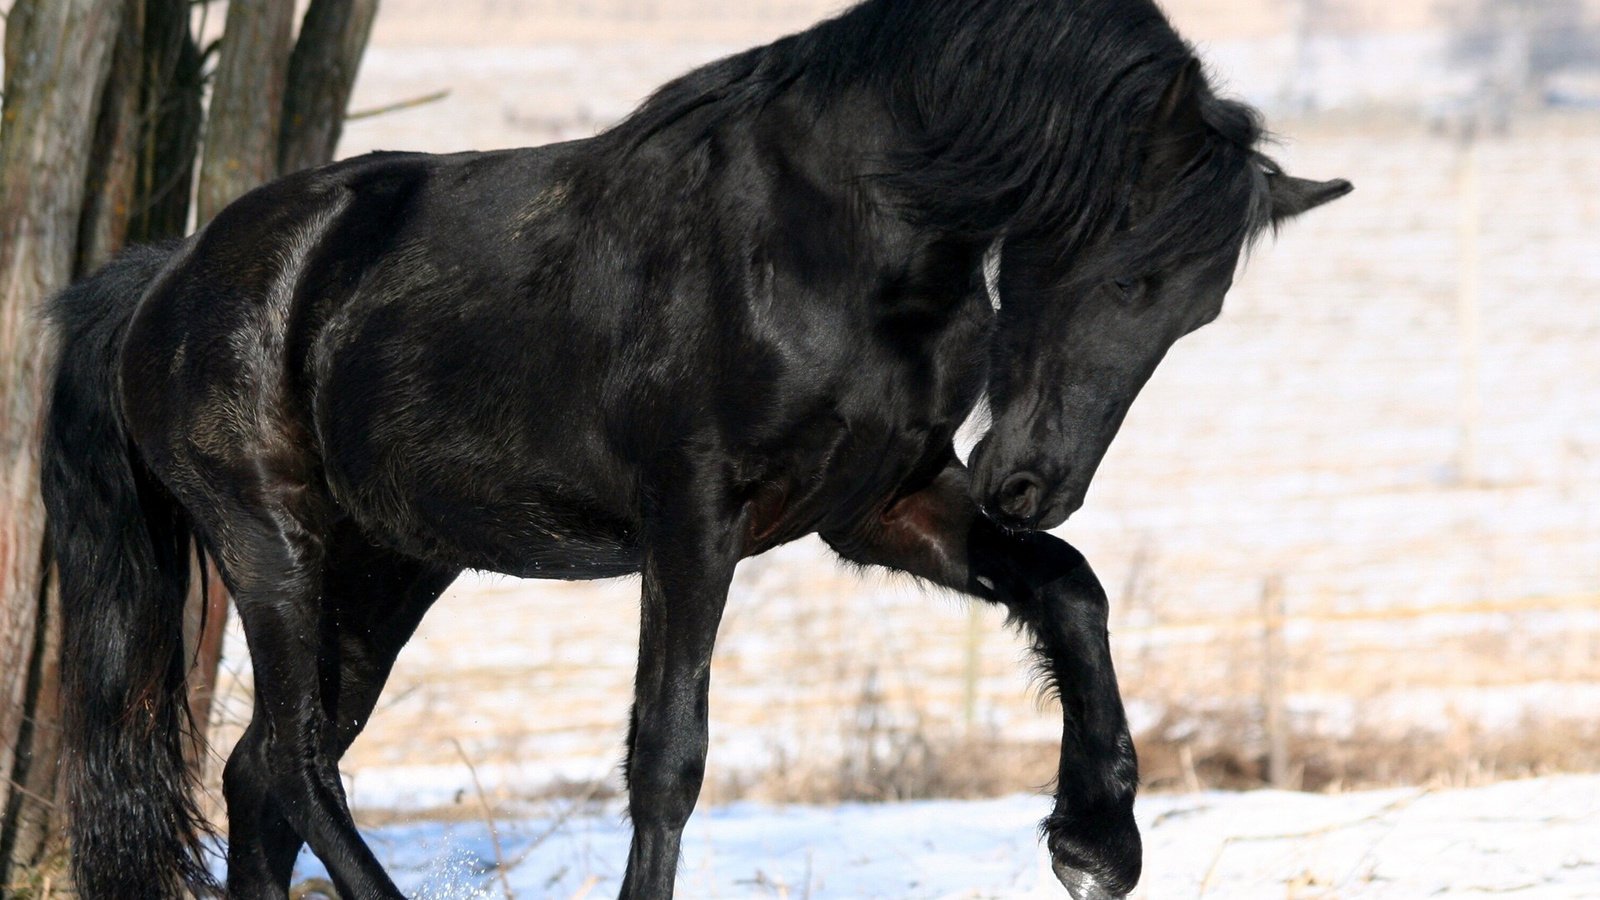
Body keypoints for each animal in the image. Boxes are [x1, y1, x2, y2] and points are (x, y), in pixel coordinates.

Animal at [43, 0, 1350, 890]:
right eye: (1126, 272)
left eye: (1198, 312)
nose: (1035, 482)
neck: (838, 235)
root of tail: (171, 277)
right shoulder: (692, 518)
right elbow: (667, 757)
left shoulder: (880, 507)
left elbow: (1073, 593)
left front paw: (1096, 840)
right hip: (275, 546)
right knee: (297, 758)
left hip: (389, 567)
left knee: (262, 773)